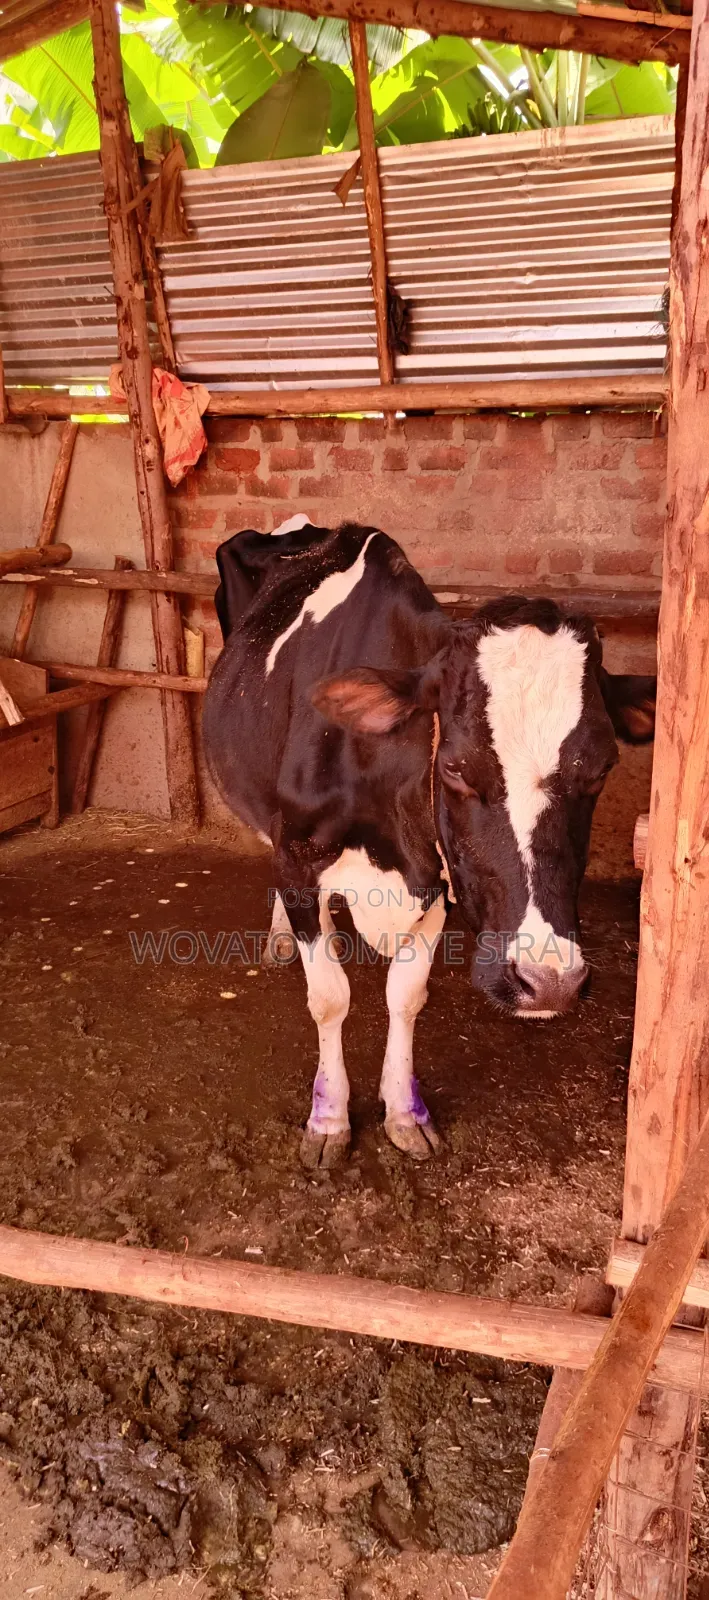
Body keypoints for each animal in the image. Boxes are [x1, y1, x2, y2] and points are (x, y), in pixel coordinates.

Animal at [203, 516, 655, 1170]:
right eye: (457, 769)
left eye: (602, 768)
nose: (549, 982)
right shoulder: (298, 857)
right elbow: (330, 996)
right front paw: (329, 1120)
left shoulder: (440, 876)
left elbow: (406, 996)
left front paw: (403, 1113)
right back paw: (283, 936)